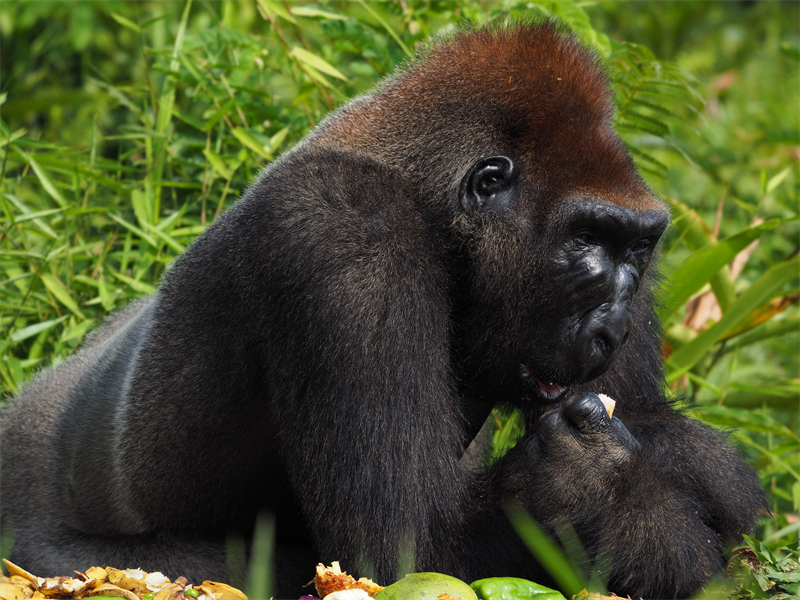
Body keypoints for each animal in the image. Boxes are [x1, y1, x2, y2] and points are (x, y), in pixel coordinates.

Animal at [0, 19, 764, 600]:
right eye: (585, 243)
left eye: (634, 249)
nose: (613, 328)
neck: (425, 196)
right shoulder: (347, 232)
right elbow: (404, 550)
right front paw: (600, 485)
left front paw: (689, 463)